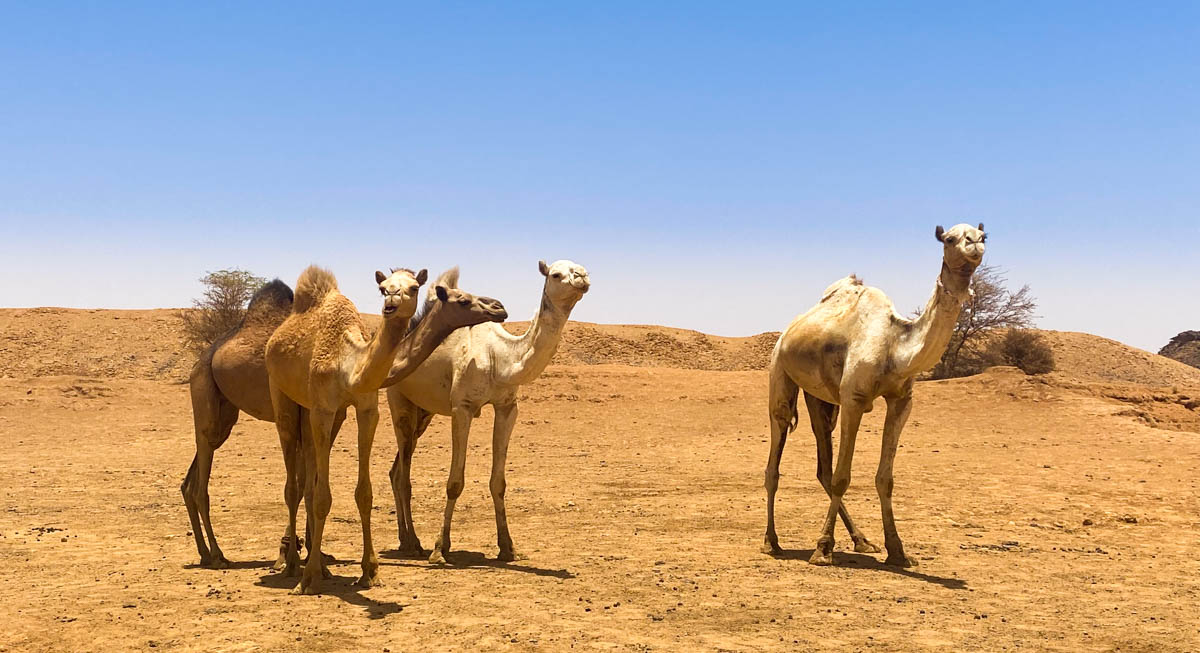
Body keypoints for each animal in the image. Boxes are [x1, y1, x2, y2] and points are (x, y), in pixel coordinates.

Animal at [182, 265, 506, 580]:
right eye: (461, 299)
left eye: (415, 287)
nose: (498, 307)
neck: (351, 363)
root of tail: (203, 358)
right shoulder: (318, 411)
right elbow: (306, 487)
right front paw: (292, 558)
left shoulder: (346, 412)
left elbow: (325, 487)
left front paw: (327, 559)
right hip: (228, 399)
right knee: (208, 479)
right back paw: (220, 556)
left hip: (228, 417)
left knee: (191, 481)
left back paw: (206, 552)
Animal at [384, 258, 590, 564]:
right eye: (555, 274)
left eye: (582, 268)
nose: (582, 278)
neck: (500, 357)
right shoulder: (462, 408)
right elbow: (454, 482)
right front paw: (440, 549)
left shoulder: (508, 408)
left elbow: (498, 482)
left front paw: (508, 547)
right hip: (399, 401)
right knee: (402, 473)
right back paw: (413, 543)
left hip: (424, 413)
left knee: (396, 470)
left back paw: (405, 540)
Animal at [768, 223, 984, 566]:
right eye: (950, 239)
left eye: (983, 235)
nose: (974, 244)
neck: (895, 346)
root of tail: (789, 330)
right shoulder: (853, 400)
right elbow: (843, 476)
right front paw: (822, 549)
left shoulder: (902, 401)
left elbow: (885, 478)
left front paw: (897, 551)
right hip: (780, 370)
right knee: (776, 454)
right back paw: (771, 542)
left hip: (820, 398)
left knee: (822, 464)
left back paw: (861, 540)